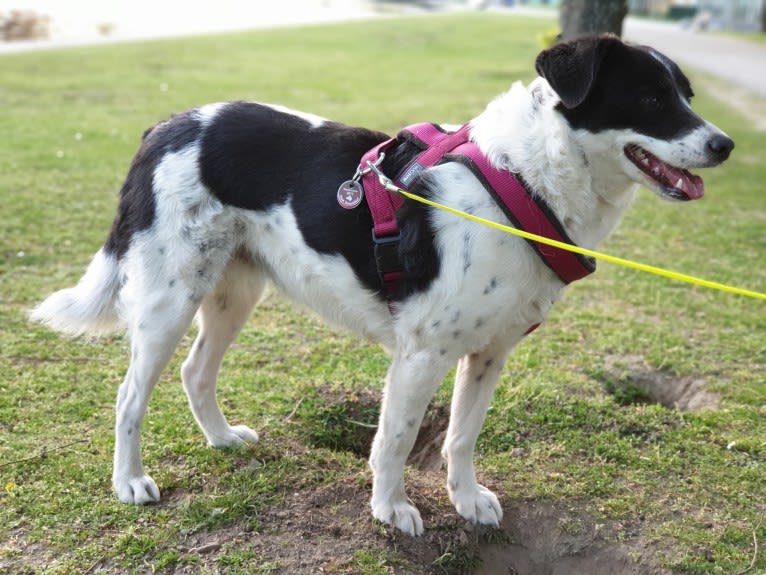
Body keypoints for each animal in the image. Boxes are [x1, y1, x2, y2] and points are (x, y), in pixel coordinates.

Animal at [33, 35, 736, 536]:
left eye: (688, 95)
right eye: (651, 100)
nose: (725, 145)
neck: (521, 180)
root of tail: (167, 126)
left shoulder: (490, 353)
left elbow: (460, 436)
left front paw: (465, 500)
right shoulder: (422, 352)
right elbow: (395, 439)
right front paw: (391, 511)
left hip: (234, 291)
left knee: (195, 371)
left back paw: (223, 439)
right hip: (169, 296)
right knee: (130, 395)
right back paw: (130, 482)